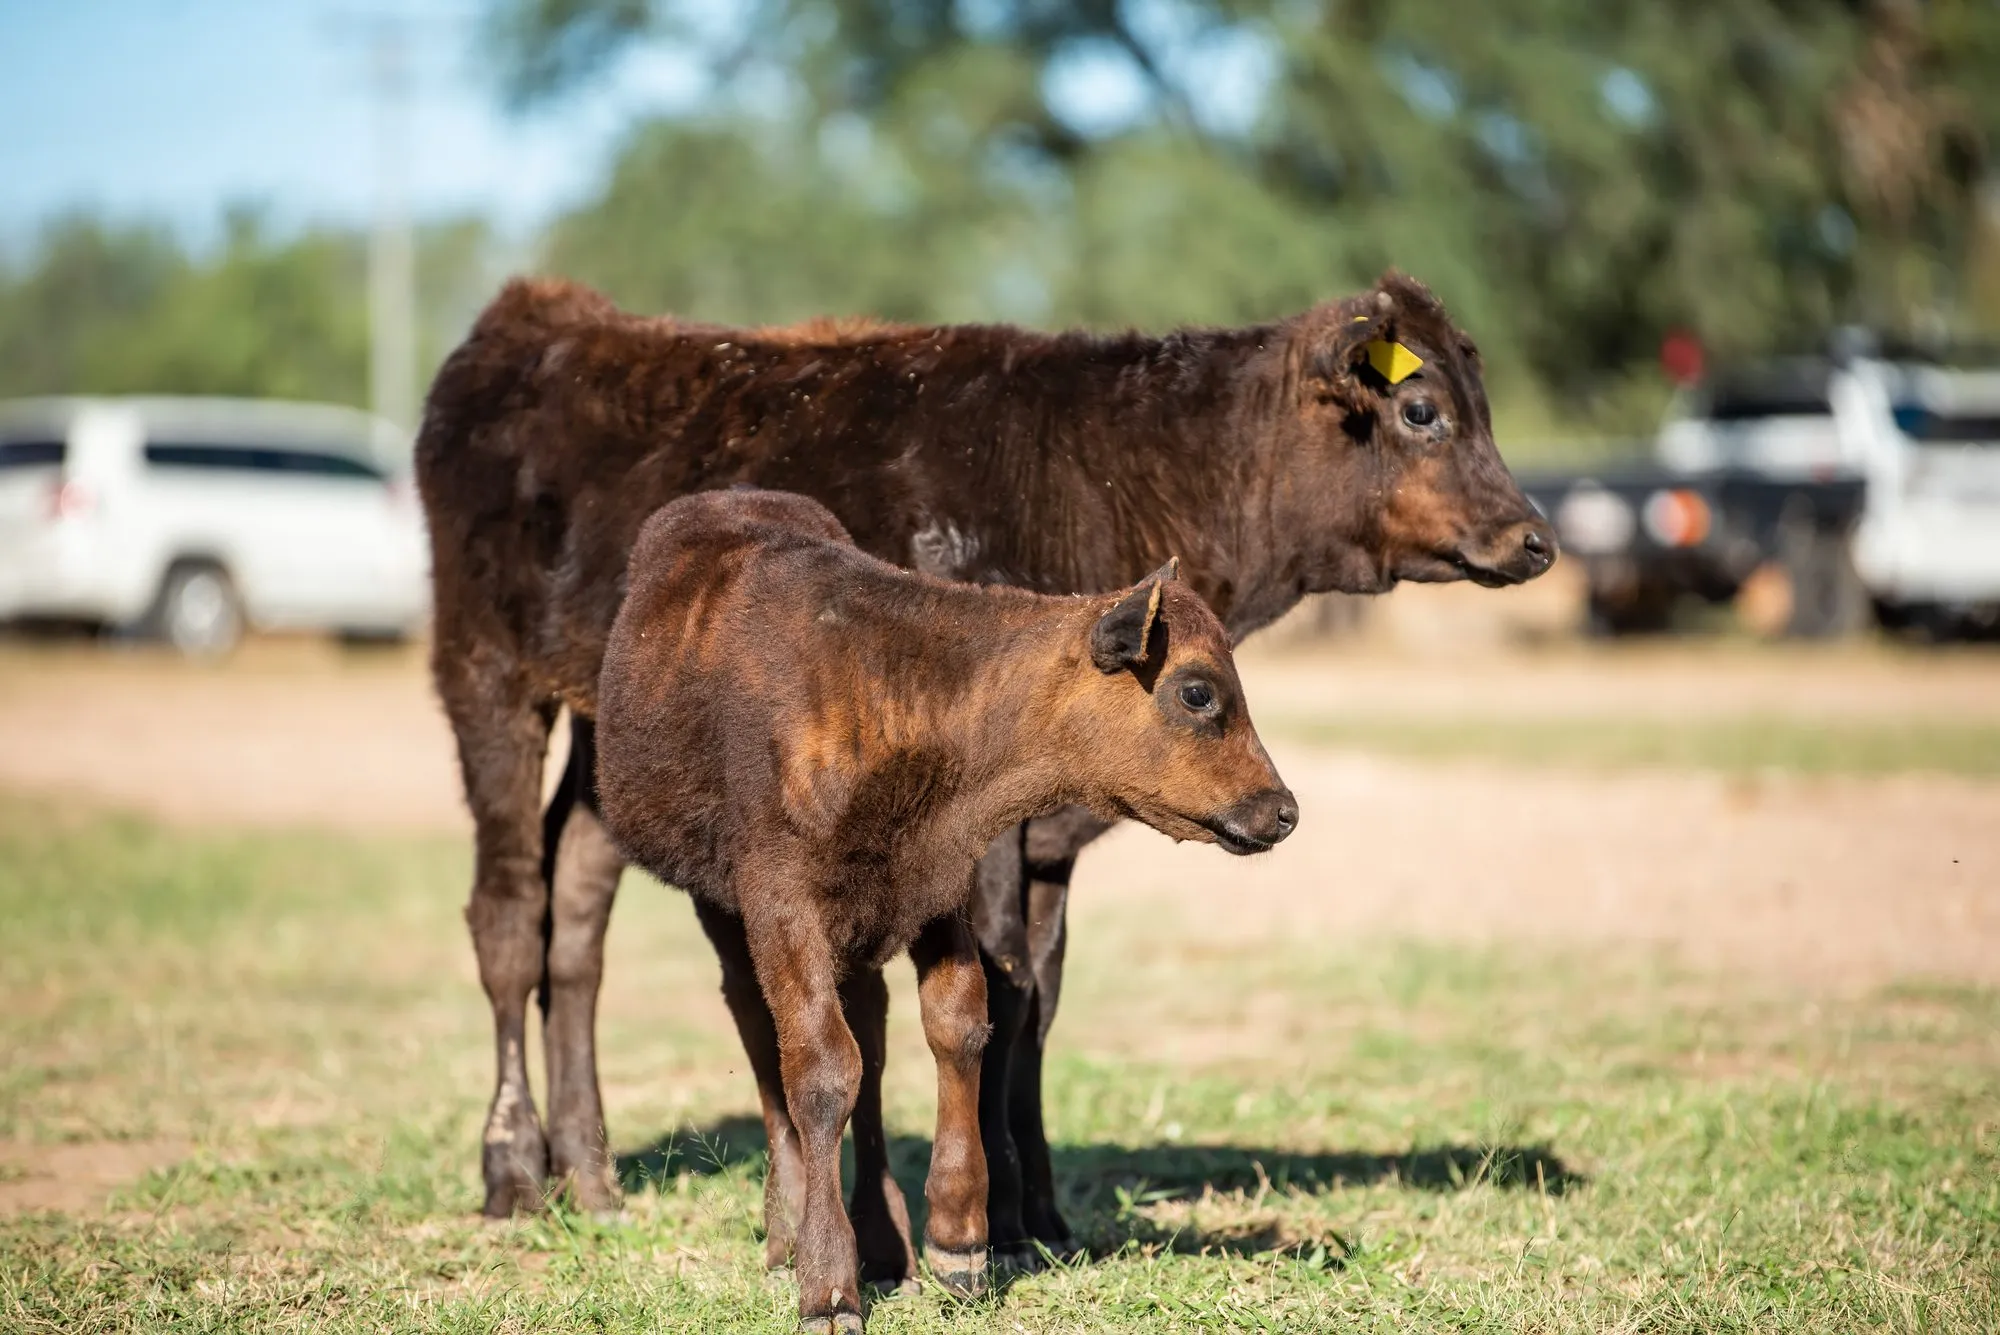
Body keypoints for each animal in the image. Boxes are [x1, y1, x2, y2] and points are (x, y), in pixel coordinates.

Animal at [414, 270, 1556, 1274]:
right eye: (1421, 409)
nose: (1534, 538)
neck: (1115, 467)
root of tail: (541, 314)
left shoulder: (1047, 837)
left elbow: (1035, 998)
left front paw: (1041, 1210)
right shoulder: (991, 830)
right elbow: (1002, 988)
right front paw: (997, 1221)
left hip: (606, 742)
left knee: (576, 913)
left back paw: (592, 1175)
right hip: (486, 677)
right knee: (510, 915)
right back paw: (514, 1169)